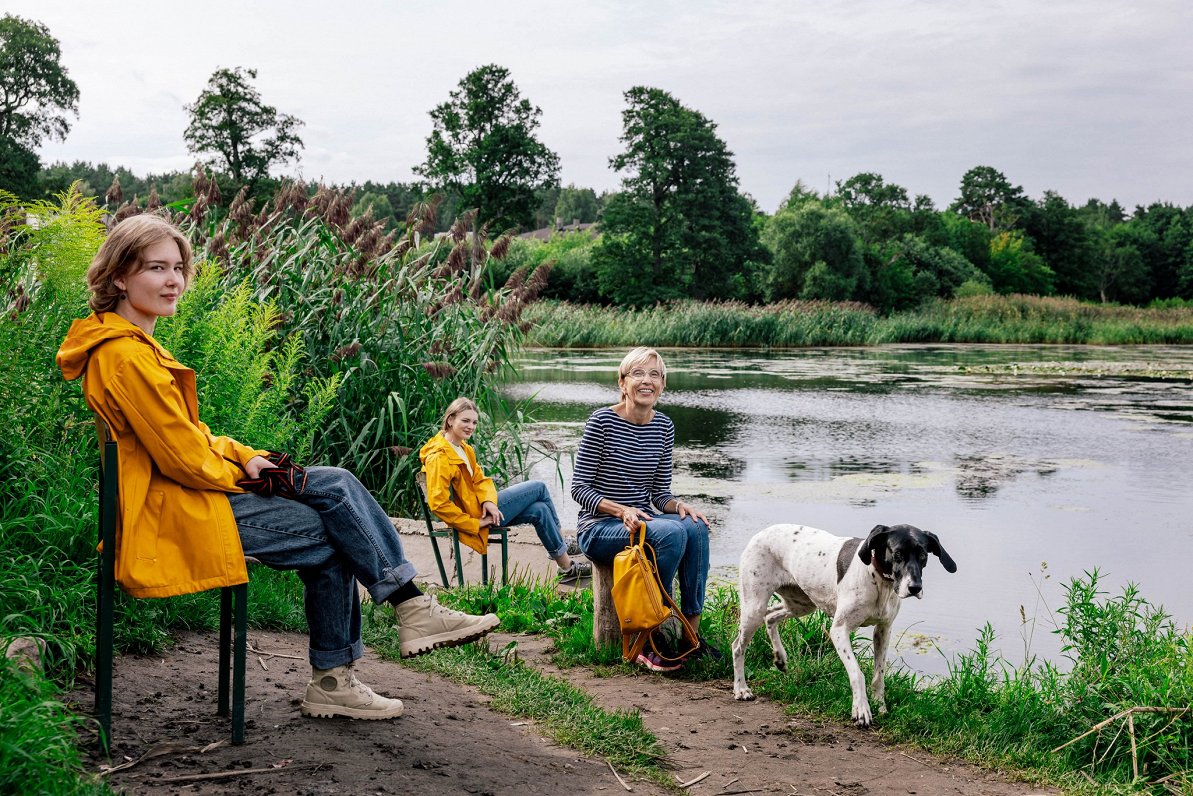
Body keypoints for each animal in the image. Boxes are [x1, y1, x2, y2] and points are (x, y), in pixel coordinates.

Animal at [730, 525, 954, 725]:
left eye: (923, 556)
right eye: (897, 553)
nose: (915, 587)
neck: (878, 580)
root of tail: (762, 533)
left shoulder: (883, 630)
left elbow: (878, 675)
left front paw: (880, 705)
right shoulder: (839, 631)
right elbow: (857, 673)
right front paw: (861, 709)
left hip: (801, 605)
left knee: (770, 616)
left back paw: (780, 658)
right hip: (754, 607)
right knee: (737, 646)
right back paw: (741, 688)